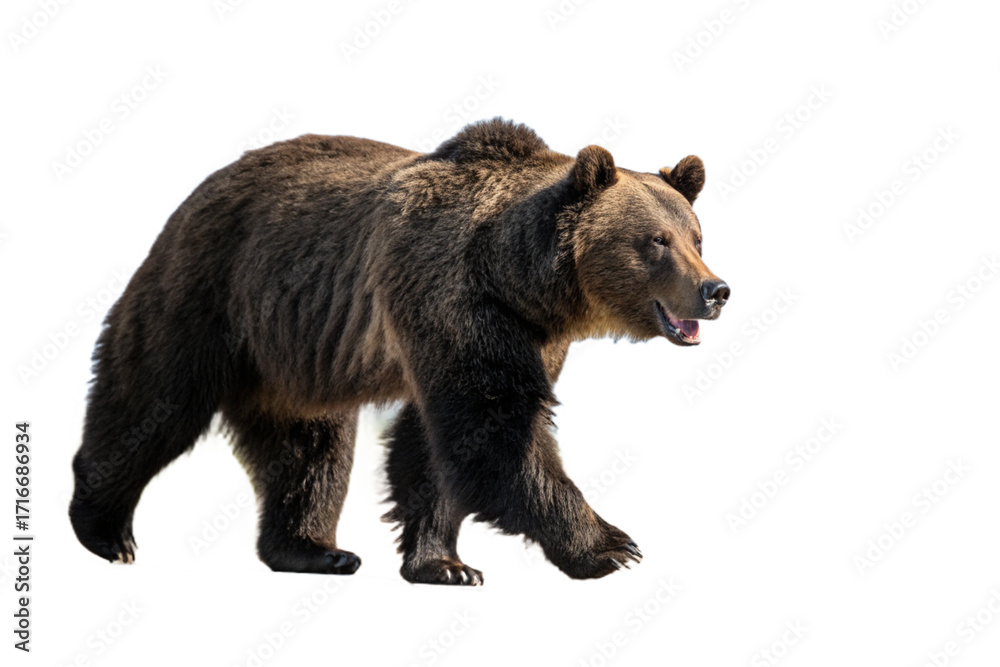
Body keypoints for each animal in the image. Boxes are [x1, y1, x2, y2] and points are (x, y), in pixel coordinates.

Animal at [69, 118, 729, 585]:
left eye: (698, 237)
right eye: (656, 240)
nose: (715, 290)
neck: (519, 281)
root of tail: (199, 188)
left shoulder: (530, 336)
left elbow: (435, 446)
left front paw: (445, 563)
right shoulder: (450, 296)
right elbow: (494, 428)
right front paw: (612, 545)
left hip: (294, 350)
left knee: (307, 443)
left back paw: (312, 548)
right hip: (212, 290)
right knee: (153, 396)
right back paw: (104, 531)